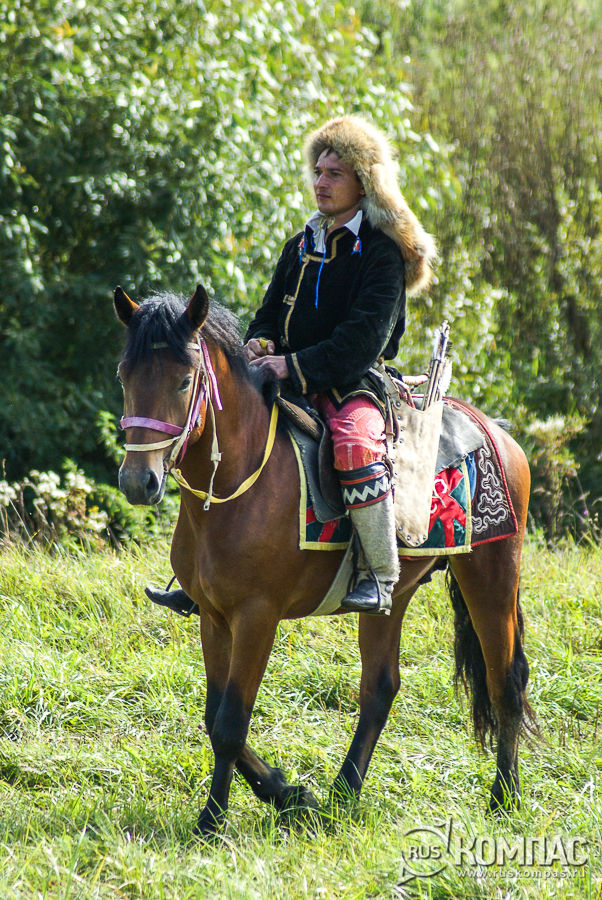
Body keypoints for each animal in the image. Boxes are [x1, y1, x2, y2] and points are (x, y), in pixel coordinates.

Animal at [114, 283, 535, 838]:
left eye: (185, 380)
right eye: (125, 376)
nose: (138, 482)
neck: (239, 483)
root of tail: (498, 433)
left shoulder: (257, 617)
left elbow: (229, 722)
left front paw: (214, 819)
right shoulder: (214, 615)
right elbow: (213, 715)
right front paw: (287, 793)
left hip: (491, 575)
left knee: (504, 678)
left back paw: (504, 797)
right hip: (395, 596)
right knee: (380, 688)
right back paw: (342, 792)